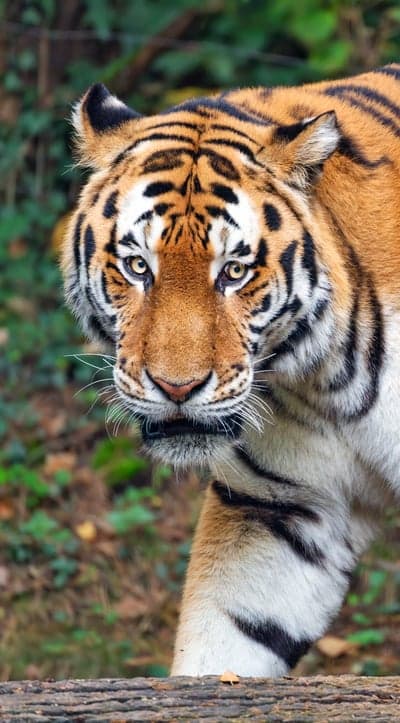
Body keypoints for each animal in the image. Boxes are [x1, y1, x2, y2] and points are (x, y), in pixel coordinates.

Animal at [62, 64, 400, 677]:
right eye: (137, 266)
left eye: (235, 272)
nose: (177, 387)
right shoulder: (281, 508)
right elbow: (227, 641)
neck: (326, 379)